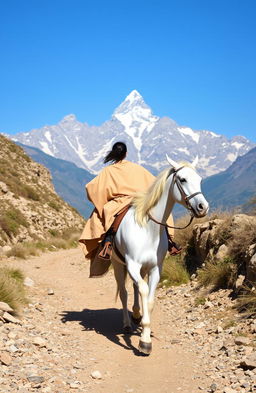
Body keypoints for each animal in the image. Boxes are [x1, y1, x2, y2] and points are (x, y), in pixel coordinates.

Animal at [111, 155, 209, 354]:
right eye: (182, 179)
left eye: (200, 179)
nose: (203, 207)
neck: (148, 229)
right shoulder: (132, 264)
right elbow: (142, 290)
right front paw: (144, 341)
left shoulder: (155, 268)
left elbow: (149, 299)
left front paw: (145, 333)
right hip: (119, 265)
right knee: (124, 292)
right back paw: (127, 323)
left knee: (134, 288)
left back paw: (136, 314)